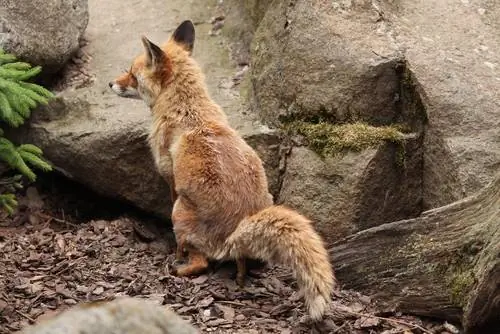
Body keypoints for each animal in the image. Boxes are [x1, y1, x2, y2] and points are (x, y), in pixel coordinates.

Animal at [109, 19, 336, 320]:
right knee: (239, 263)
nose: (110, 83)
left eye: (132, 74)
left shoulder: (170, 179)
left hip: (180, 212)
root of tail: (234, 232)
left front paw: (174, 254)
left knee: (201, 263)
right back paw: (239, 279)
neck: (188, 110)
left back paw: (178, 267)